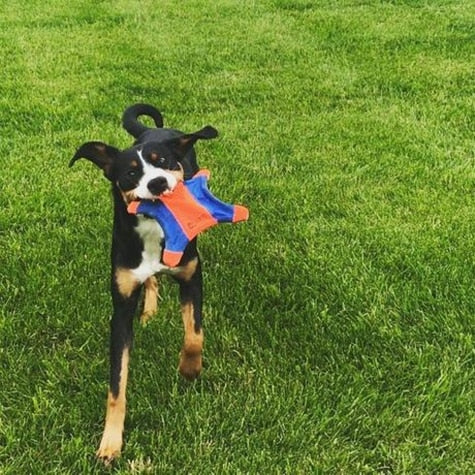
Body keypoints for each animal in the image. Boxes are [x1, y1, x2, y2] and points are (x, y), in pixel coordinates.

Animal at [69, 103, 218, 462]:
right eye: (131, 173)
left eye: (162, 161)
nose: (159, 182)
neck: (153, 228)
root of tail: (153, 130)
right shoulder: (121, 309)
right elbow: (116, 386)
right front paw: (110, 443)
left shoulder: (192, 277)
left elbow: (194, 335)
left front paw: (189, 369)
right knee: (150, 279)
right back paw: (149, 308)